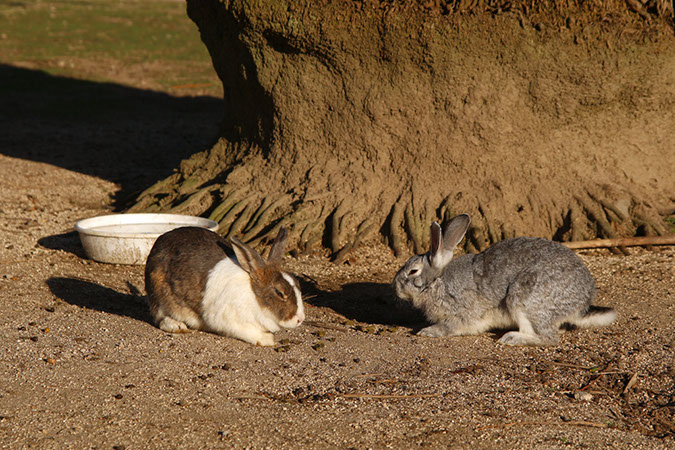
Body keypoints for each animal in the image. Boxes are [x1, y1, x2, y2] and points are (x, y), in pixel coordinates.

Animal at [145, 226, 304, 347]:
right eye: (280, 293)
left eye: (298, 284)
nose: (300, 319)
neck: (254, 296)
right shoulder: (230, 321)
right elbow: (248, 331)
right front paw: (267, 340)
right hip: (159, 294)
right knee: (160, 317)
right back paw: (176, 326)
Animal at [393, 214, 616, 346]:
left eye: (413, 271)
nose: (395, 287)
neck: (437, 282)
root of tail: (583, 301)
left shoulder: (460, 312)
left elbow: (451, 326)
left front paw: (427, 331)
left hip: (524, 299)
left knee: (549, 338)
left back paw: (512, 338)